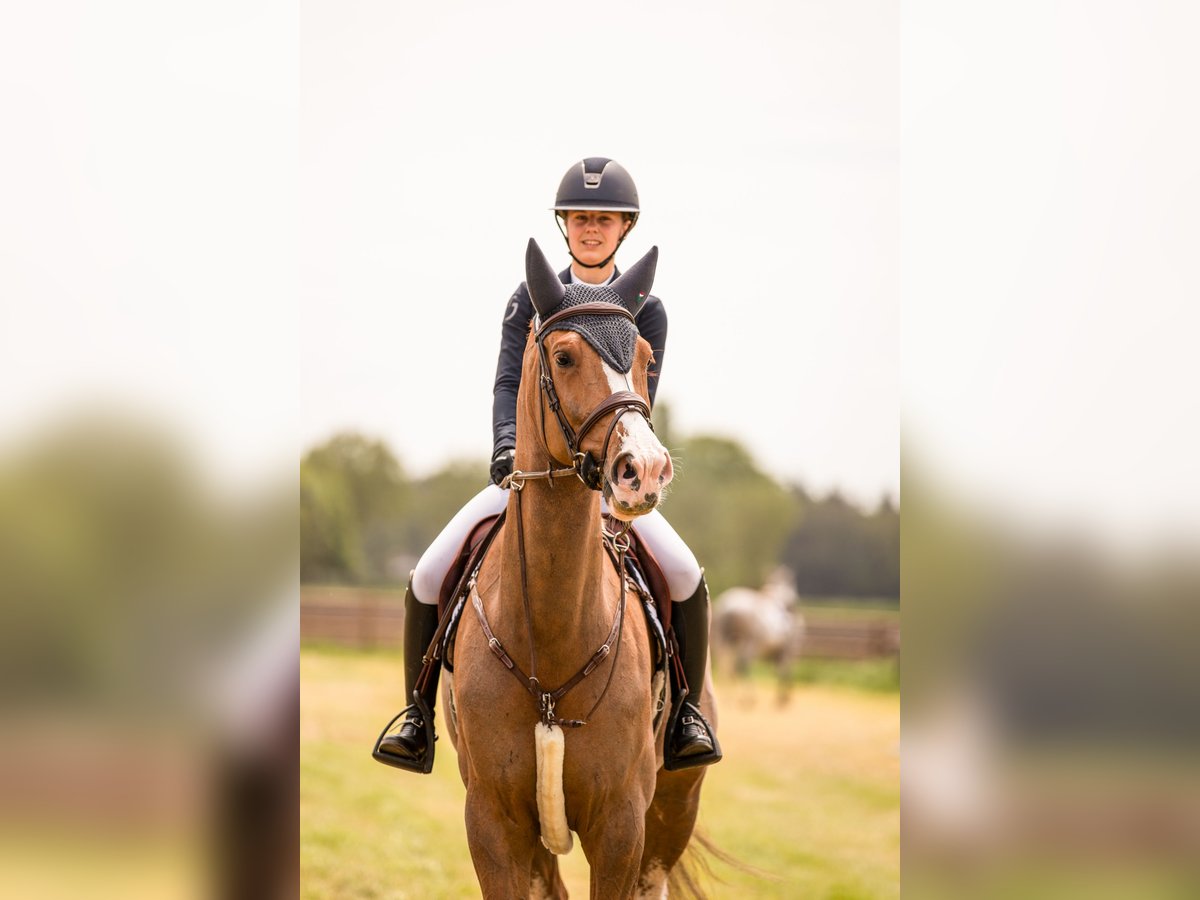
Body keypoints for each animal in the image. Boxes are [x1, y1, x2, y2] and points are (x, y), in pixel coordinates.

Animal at [710, 571, 806, 705]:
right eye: (794, 586)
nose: (795, 607)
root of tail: (729, 609)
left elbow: (780, 671)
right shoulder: (786, 650)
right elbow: (784, 671)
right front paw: (783, 698)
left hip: (723, 640)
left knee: (725, 665)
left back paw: (728, 696)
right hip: (750, 643)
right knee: (742, 665)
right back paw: (749, 698)